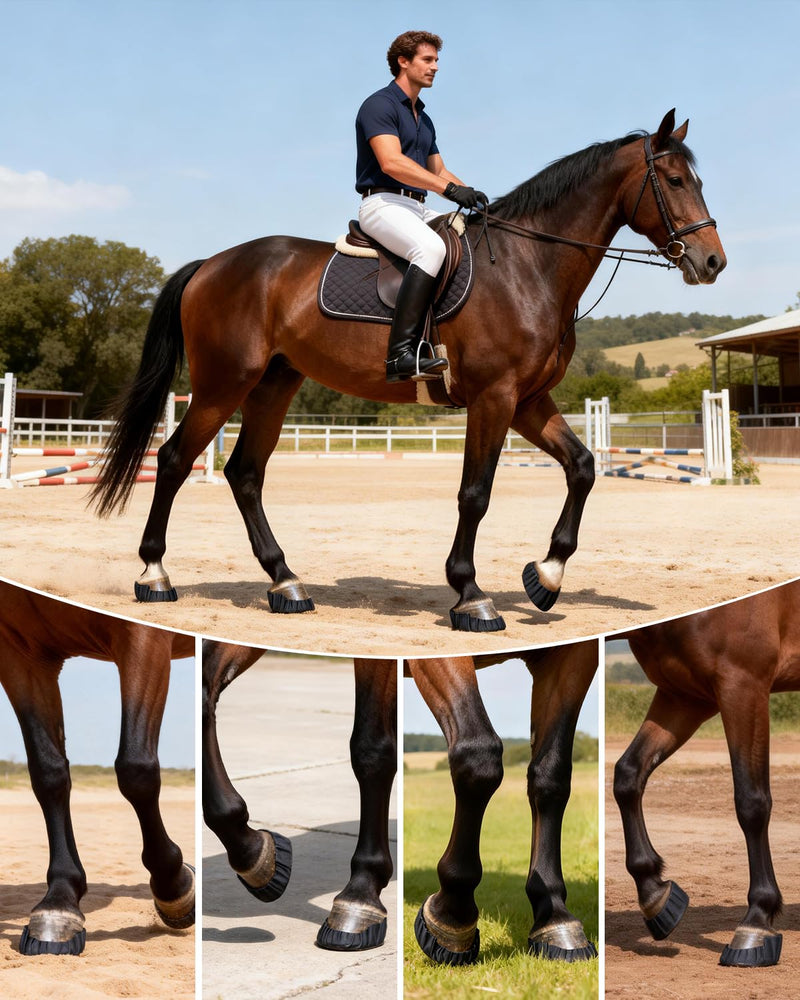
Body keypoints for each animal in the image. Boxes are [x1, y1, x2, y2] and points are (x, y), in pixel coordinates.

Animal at [0, 580, 195, 956]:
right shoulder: (22, 655)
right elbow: (48, 774)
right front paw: (59, 903)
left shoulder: (142, 637)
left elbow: (135, 769)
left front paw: (175, 886)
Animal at [90, 109, 725, 632]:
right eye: (674, 182)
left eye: (697, 181)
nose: (713, 262)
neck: (529, 265)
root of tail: (210, 265)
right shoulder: (494, 397)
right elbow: (475, 493)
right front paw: (471, 596)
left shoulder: (527, 401)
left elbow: (584, 467)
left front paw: (545, 577)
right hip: (223, 385)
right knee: (175, 460)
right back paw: (155, 576)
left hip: (273, 384)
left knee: (245, 473)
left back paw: (286, 583)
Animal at [612, 579, 800, 967]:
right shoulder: (685, 697)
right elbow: (628, 775)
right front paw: (655, 896)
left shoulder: (743, 685)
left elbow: (751, 802)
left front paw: (756, 923)